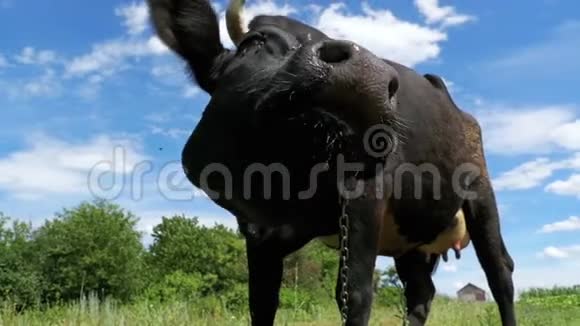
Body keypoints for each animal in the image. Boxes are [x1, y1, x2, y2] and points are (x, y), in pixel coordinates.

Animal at [147, 1, 516, 324]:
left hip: (480, 193)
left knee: (500, 274)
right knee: (421, 292)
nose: (368, 71)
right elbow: (262, 301)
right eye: (254, 42)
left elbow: (353, 293)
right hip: (411, 239)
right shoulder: (257, 232)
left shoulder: (366, 198)